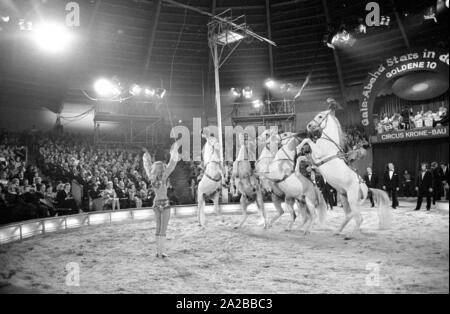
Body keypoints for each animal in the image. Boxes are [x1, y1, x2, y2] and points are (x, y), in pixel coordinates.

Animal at [298, 105, 394, 236]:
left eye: (320, 116)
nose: (309, 125)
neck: (328, 143)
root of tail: (367, 188)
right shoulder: (316, 163)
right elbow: (306, 153)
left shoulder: (318, 154)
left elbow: (308, 140)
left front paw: (298, 147)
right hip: (344, 198)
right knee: (349, 216)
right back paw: (337, 232)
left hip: (352, 200)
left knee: (359, 218)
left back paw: (350, 235)